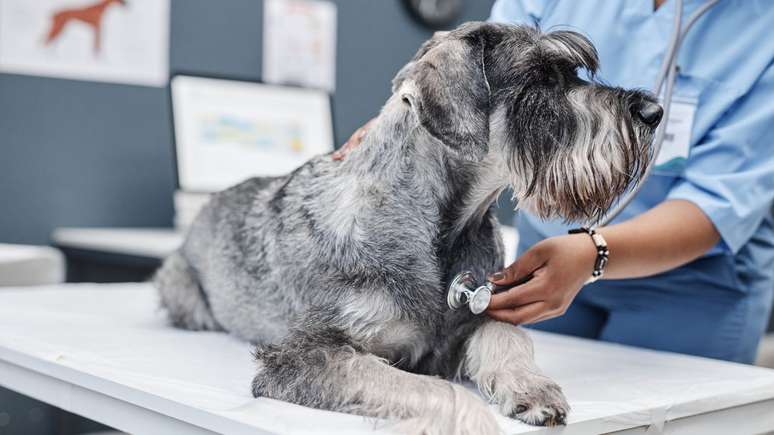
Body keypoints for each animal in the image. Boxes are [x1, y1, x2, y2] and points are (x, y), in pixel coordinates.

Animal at [155, 21, 664, 435]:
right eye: (539, 78)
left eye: (573, 73)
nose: (654, 112)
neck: (445, 229)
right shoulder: (309, 355)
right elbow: (430, 389)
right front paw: (474, 419)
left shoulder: (474, 318)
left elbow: (508, 337)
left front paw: (531, 387)